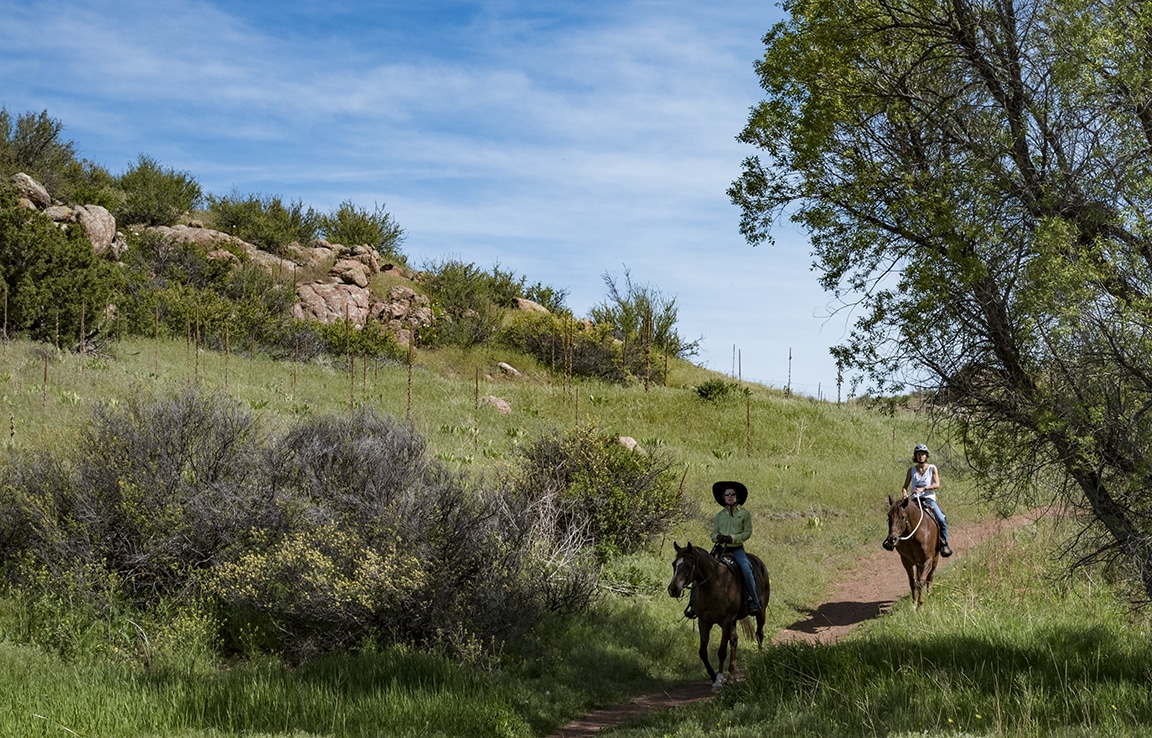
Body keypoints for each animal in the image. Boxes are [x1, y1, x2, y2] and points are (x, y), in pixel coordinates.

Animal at [668, 541, 764, 686]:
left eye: (687, 565)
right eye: (674, 564)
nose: (673, 589)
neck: (714, 585)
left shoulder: (726, 621)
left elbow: (722, 651)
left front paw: (718, 679)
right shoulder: (703, 622)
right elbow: (702, 652)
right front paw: (713, 676)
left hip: (760, 612)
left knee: (759, 634)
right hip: (733, 622)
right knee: (734, 640)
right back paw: (730, 676)